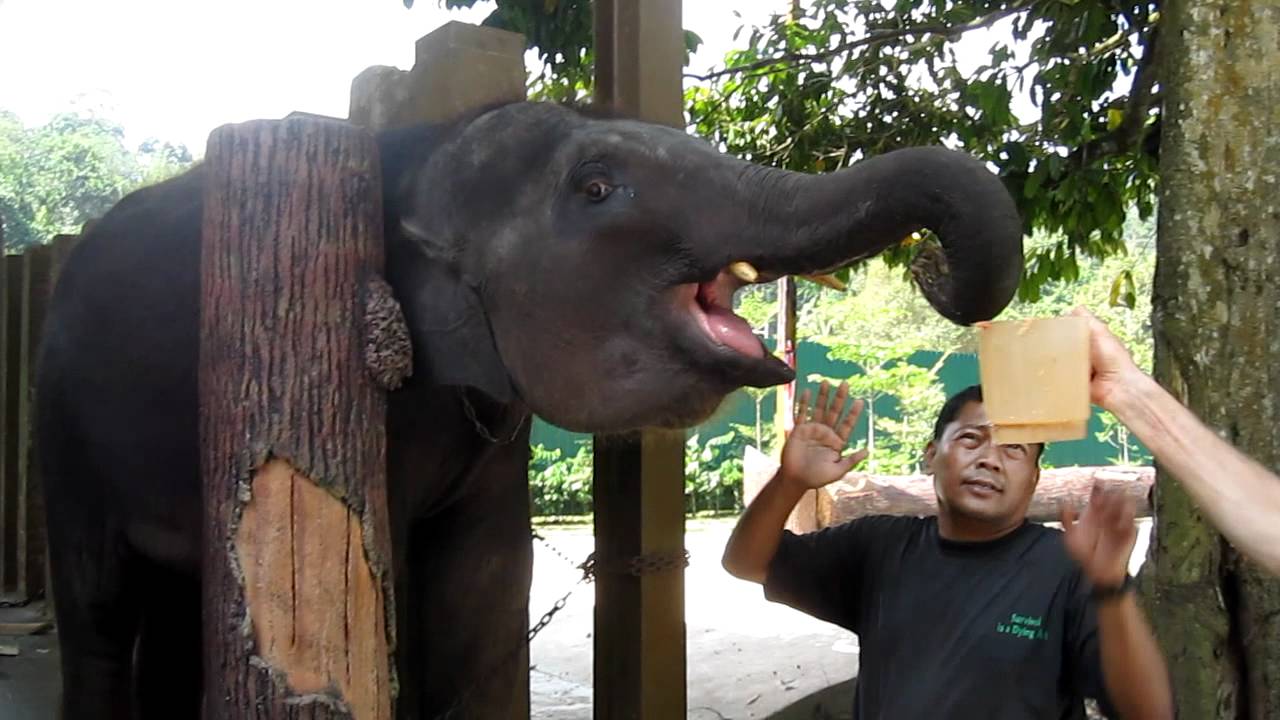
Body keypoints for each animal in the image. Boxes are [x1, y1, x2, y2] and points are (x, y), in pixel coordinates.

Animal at [33, 100, 1024, 719]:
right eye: (597, 187)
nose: (933, 268)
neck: (428, 147)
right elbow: (387, 577)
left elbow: (477, 591)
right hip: (63, 425)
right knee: (98, 609)